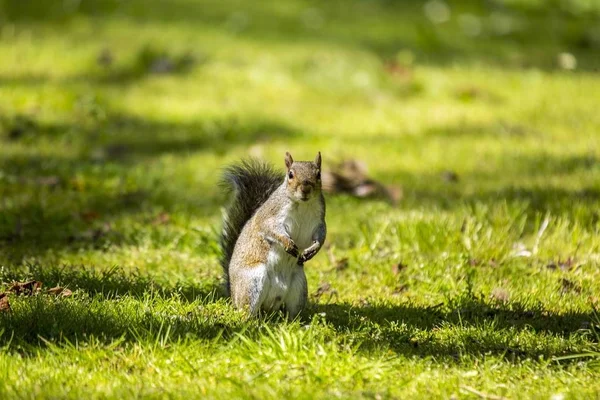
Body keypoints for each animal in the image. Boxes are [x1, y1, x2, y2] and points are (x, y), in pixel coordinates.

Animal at [219, 152, 326, 318]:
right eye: (290, 175)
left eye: (318, 174)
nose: (305, 189)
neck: (302, 204)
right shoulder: (270, 215)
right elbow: (270, 228)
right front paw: (287, 243)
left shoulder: (319, 221)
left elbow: (321, 235)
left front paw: (313, 249)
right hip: (253, 281)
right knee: (247, 310)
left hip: (299, 285)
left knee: (293, 311)